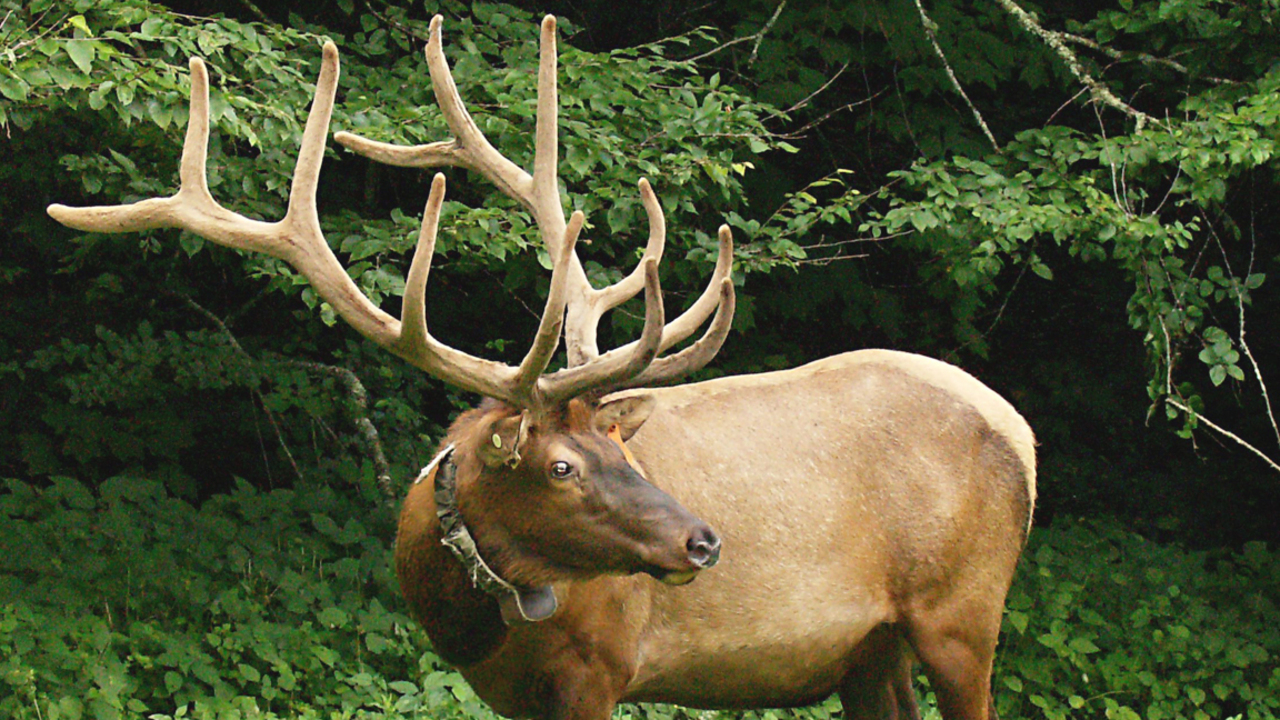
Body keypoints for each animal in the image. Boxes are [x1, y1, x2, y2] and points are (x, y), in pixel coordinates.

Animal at [48, 14, 1036, 720]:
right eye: (562, 466)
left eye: (623, 455)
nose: (704, 540)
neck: (469, 616)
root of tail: (1022, 433)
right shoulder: (508, 695)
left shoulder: (601, 667)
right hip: (869, 648)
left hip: (963, 612)